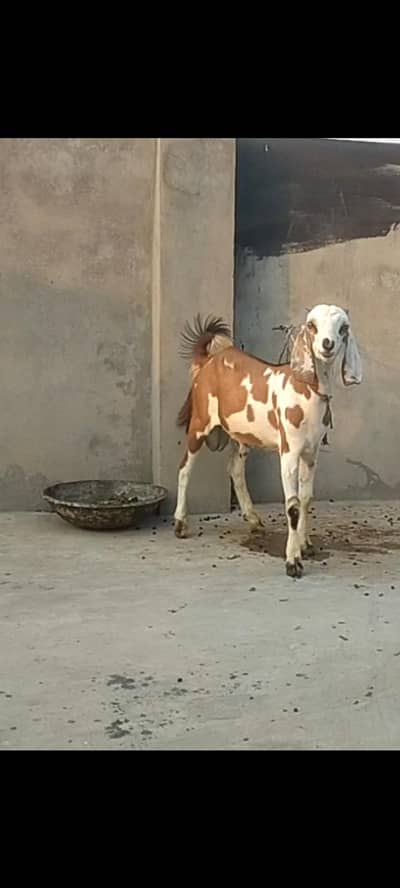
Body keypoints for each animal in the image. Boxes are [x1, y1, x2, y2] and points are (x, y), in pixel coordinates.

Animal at [174, 305, 362, 578]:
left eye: (343, 327)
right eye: (312, 325)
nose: (327, 344)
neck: (305, 388)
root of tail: (208, 360)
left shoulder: (311, 453)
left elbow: (306, 499)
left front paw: (305, 545)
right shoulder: (289, 452)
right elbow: (293, 506)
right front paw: (293, 562)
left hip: (243, 435)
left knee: (235, 469)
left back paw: (253, 519)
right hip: (199, 423)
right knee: (184, 468)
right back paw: (180, 523)